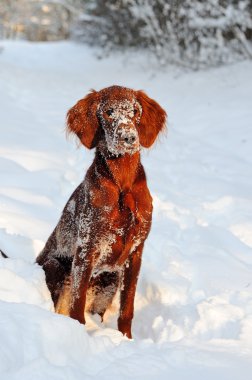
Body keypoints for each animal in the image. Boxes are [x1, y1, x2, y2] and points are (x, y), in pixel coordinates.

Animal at [36, 86, 166, 338]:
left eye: (135, 111)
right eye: (108, 112)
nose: (129, 138)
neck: (122, 184)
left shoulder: (136, 252)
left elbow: (127, 309)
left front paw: (127, 340)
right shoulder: (87, 249)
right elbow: (76, 307)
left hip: (110, 278)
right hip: (55, 266)